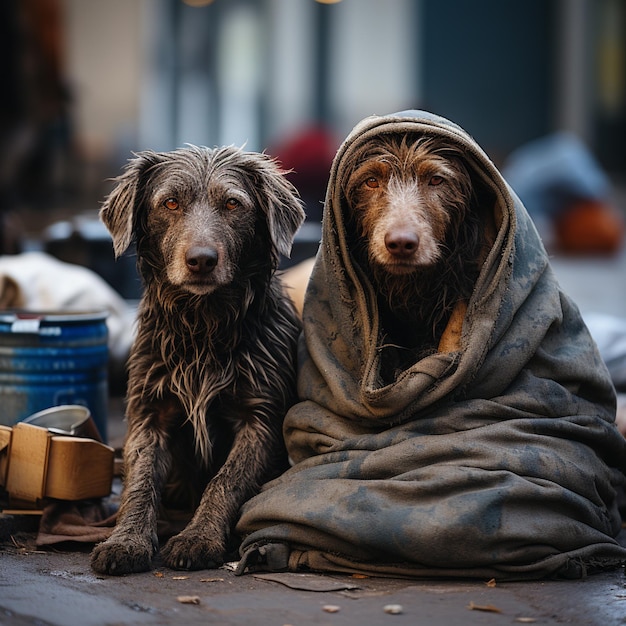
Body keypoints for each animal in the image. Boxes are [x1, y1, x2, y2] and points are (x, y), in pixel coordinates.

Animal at [90, 144, 304, 572]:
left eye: (233, 204)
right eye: (170, 202)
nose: (201, 260)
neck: (202, 326)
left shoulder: (261, 418)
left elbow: (226, 480)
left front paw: (199, 537)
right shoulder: (149, 413)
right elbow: (140, 483)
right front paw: (126, 540)